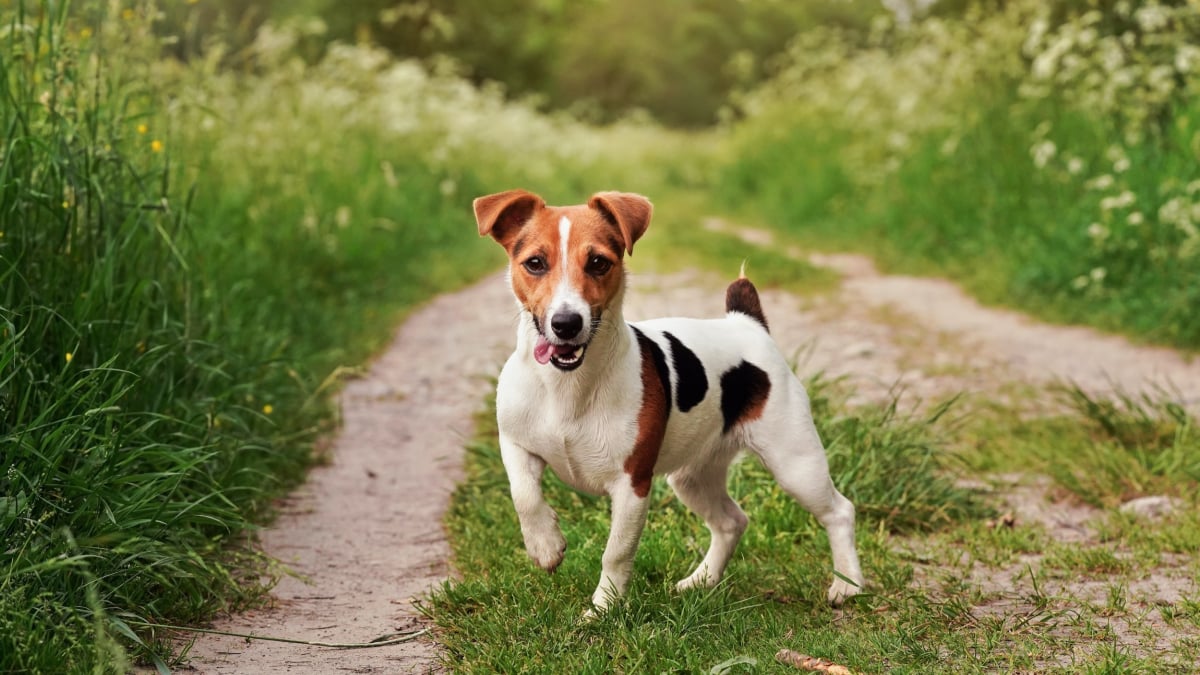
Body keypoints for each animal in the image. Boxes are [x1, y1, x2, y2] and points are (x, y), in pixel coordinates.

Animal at [470, 187, 864, 610]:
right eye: (535, 263)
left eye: (598, 262)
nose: (566, 323)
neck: (567, 384)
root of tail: (747, 324)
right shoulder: (515, 443)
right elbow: (524, 495)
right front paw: (545, 546)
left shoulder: (632, 484)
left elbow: (616, 552)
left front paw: (603, 609)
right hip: (692, 476)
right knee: (731, 522)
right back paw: (701, 581)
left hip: (795, 462)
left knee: (840, 511)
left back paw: (848, 585)